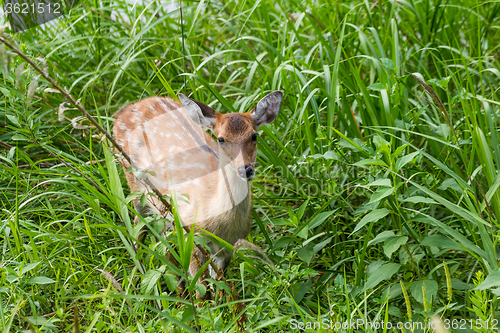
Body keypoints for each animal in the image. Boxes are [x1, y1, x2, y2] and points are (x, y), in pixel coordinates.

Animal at [114, 92, 284, 286]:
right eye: (221, 138)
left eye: (254, 136)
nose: (246, 169)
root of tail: (123, 111)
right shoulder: (192, 234)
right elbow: (201, 288)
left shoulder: (227, 246)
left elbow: (218, 283)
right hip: (134, 182)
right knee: (137, 228)